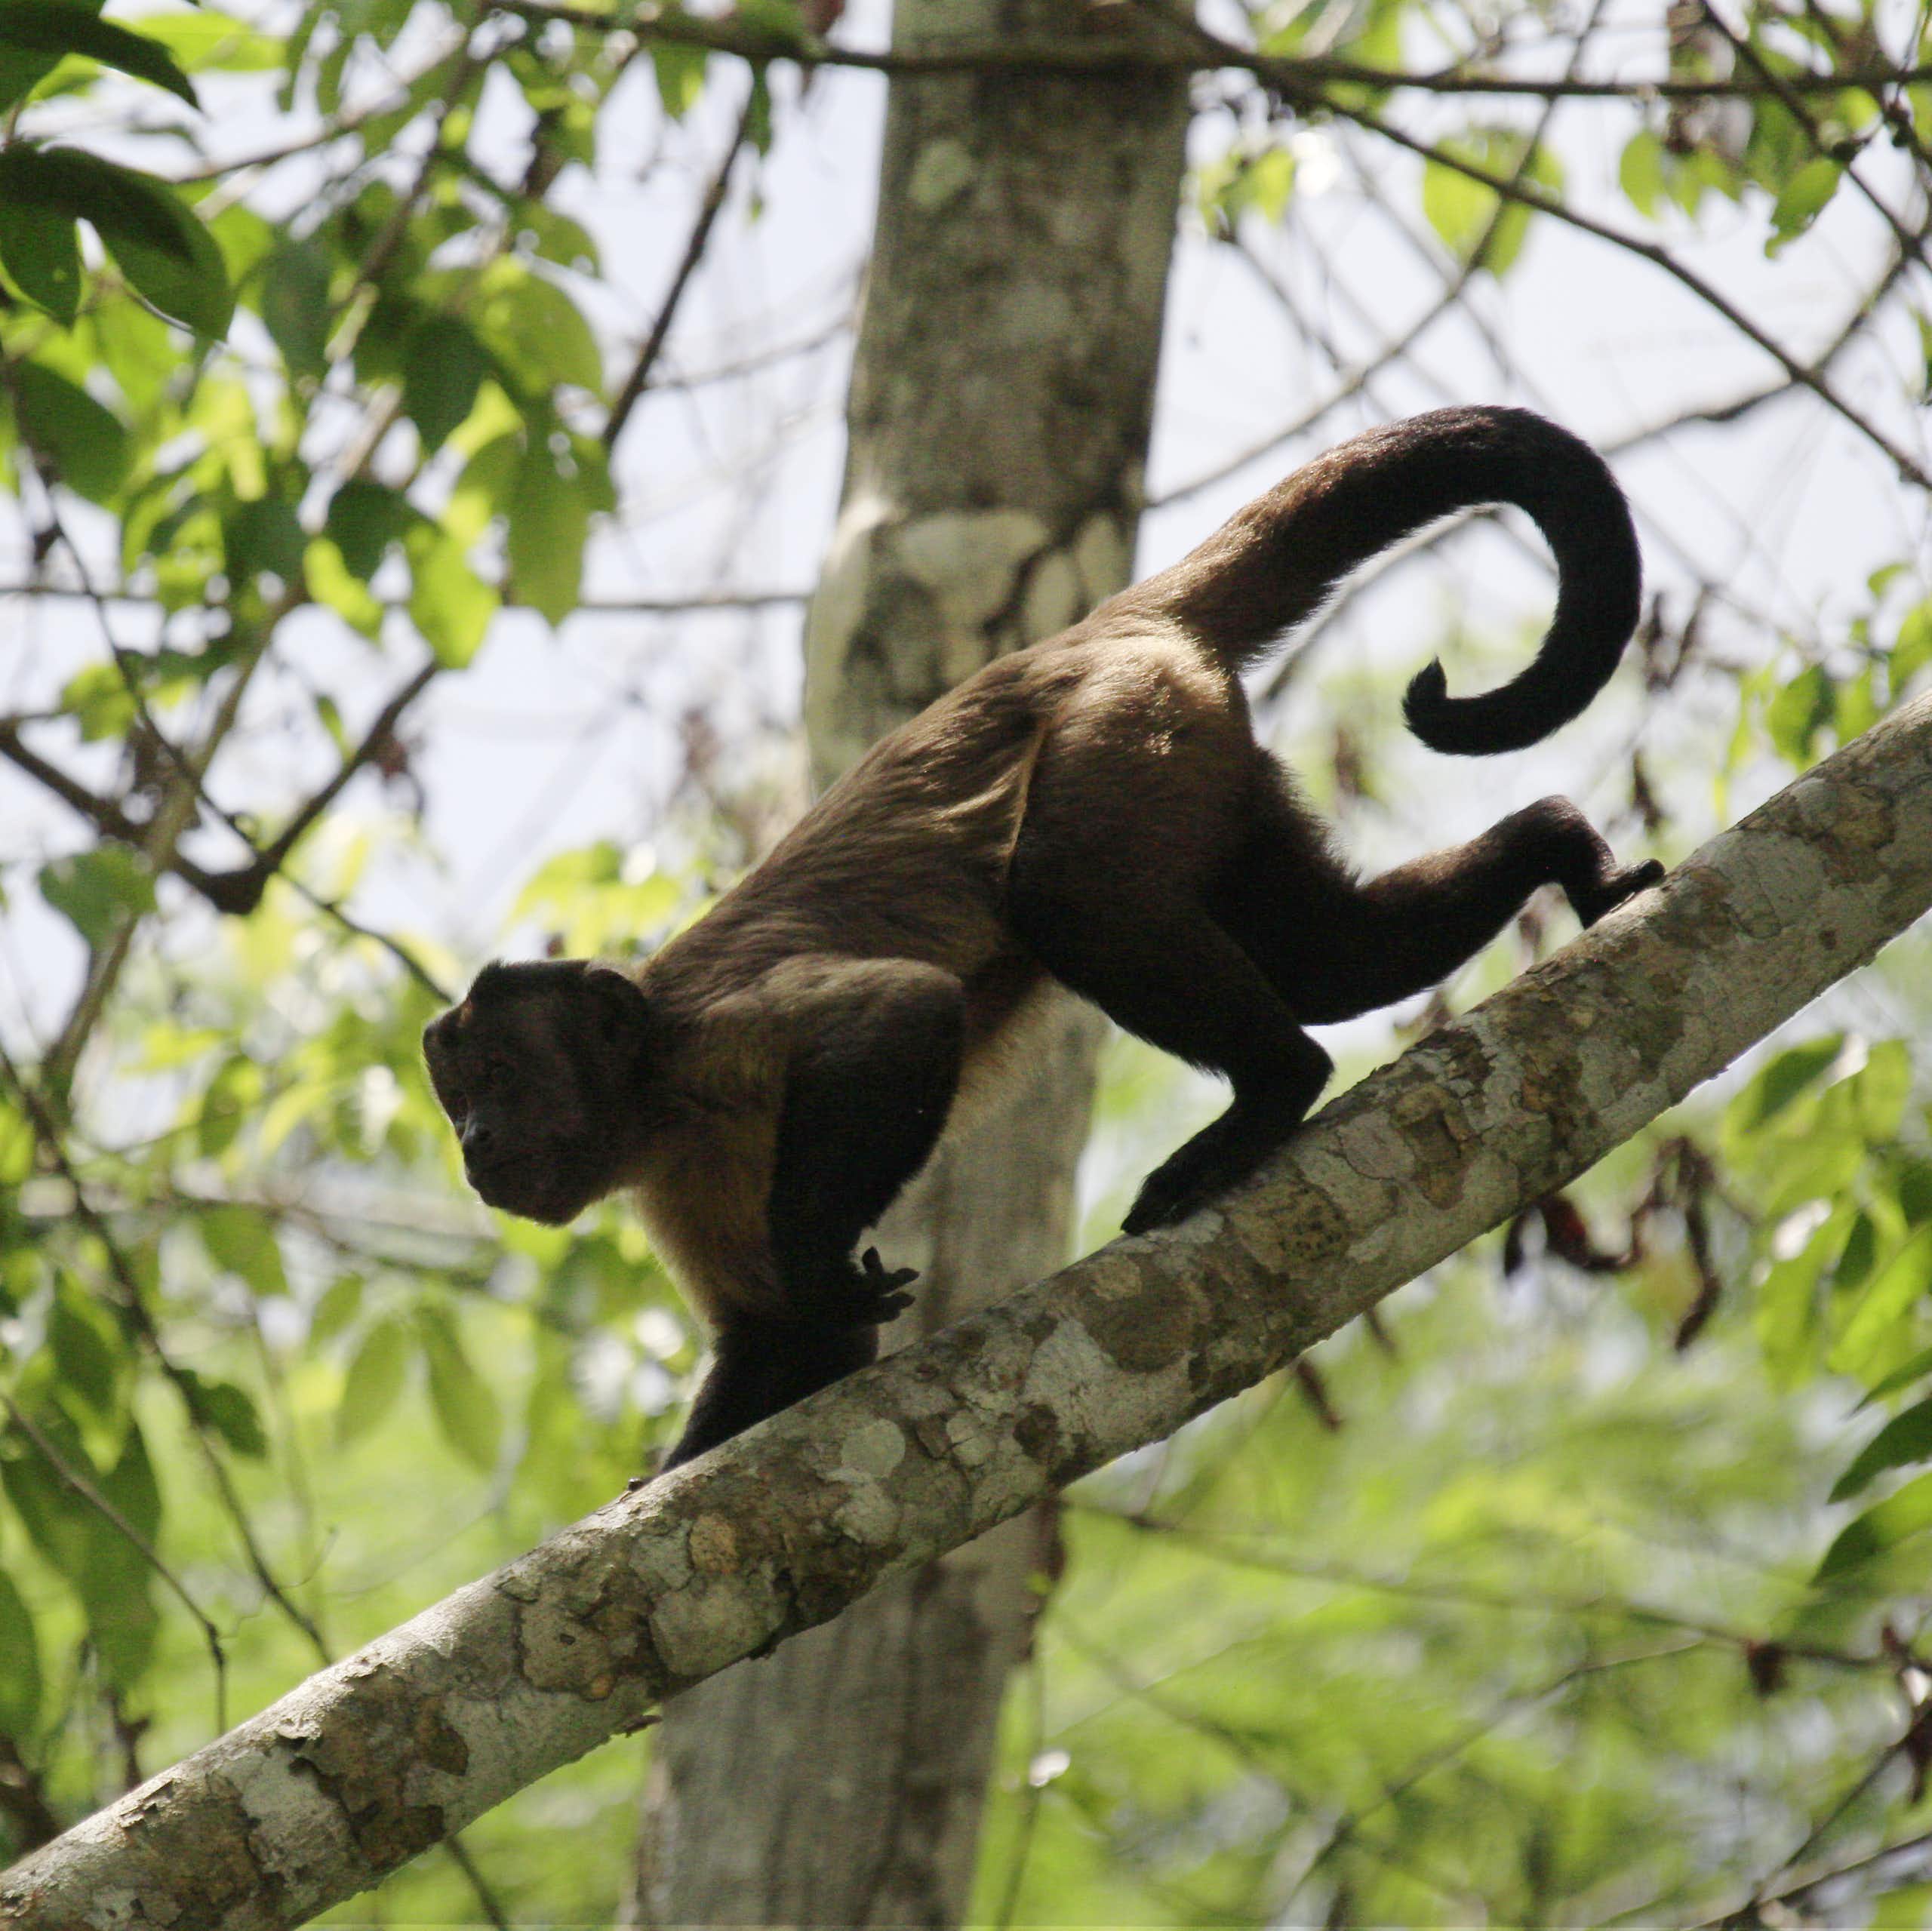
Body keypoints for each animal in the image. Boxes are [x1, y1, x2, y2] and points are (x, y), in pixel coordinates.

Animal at [422, 406, 1664, 1473]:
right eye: (457, 1099)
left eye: (500, 1073)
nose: (475, 1140)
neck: (653, 1093)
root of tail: (1099, 625)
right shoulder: (674, 1176)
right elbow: (792, 1343)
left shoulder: (705, 1038)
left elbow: (900, 1010)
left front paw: (824, 1260)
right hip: (1207, 759)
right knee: (1323, 955)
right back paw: (1553, 846)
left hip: (1123, 717)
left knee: (1068, 896)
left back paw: (1274, 1085)